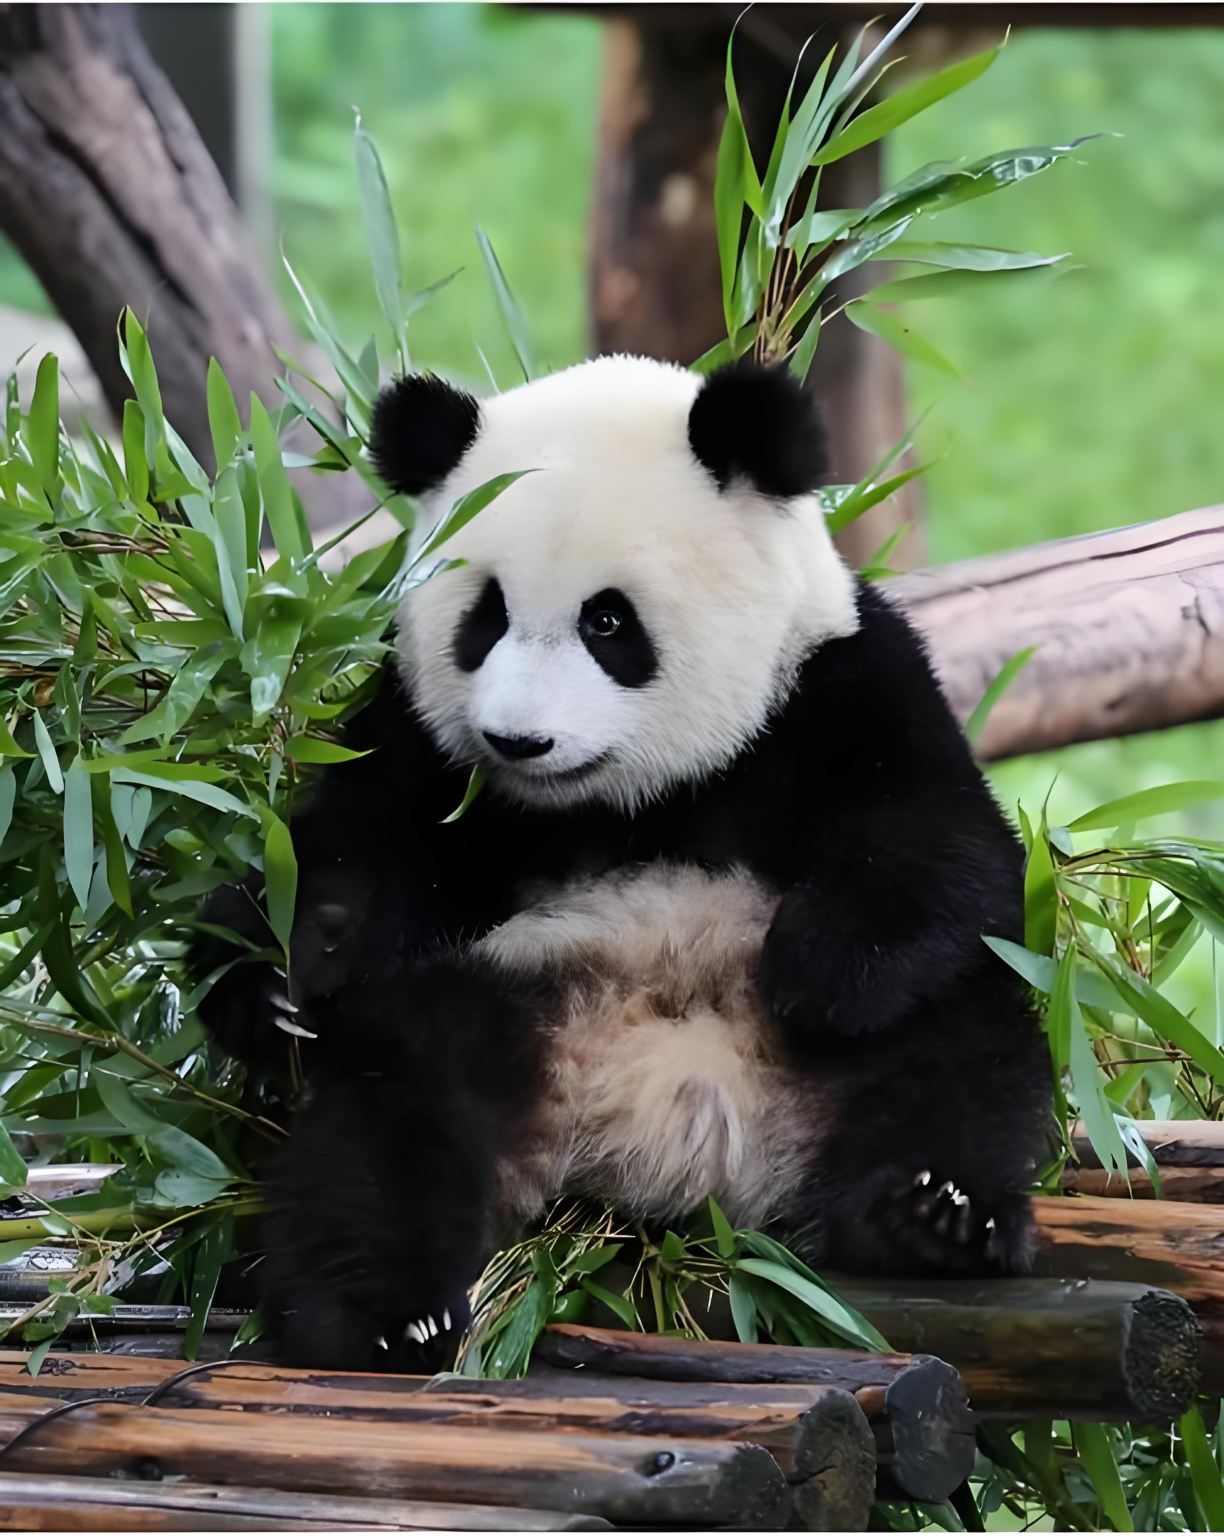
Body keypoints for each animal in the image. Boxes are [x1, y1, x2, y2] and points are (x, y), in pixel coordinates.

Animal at [193, 355, 1051, 1373]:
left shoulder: (841, 685)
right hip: (503, 999)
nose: (518, 740)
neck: (624, 800)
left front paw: (821, 973)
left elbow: (953, 849)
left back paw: (929, 1216)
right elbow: (352, 848)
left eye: (608, 622)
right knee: (390, 1125)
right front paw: (281, 976)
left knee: (961, 1060)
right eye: (484, 619)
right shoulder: (426, 750)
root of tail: (662, 1140)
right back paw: (376, 1315)